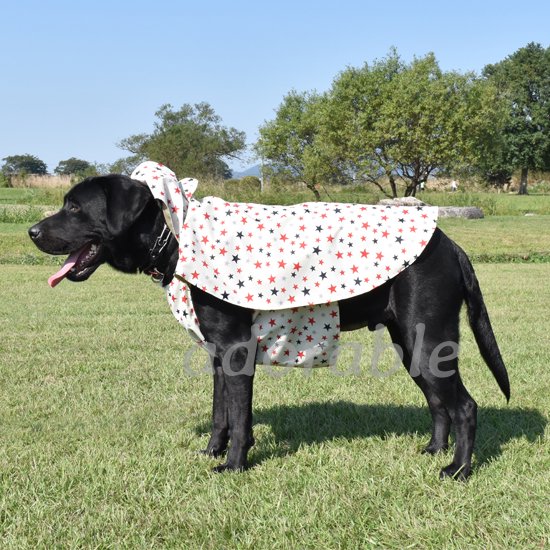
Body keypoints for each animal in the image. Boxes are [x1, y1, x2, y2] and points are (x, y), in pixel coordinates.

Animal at [28, 175, 512, 480]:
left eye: (74, 207)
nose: (32, 231)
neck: (176, 240)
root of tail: (452, 245)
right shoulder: (218, 354)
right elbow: (220, 414)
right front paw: (211, 452)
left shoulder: (237, 351)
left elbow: (240, 420)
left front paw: (233, 467)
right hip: (414, 345)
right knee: (439, 404)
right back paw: (433, 450)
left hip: (426, 338)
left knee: (465, 406)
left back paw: (458, 470)